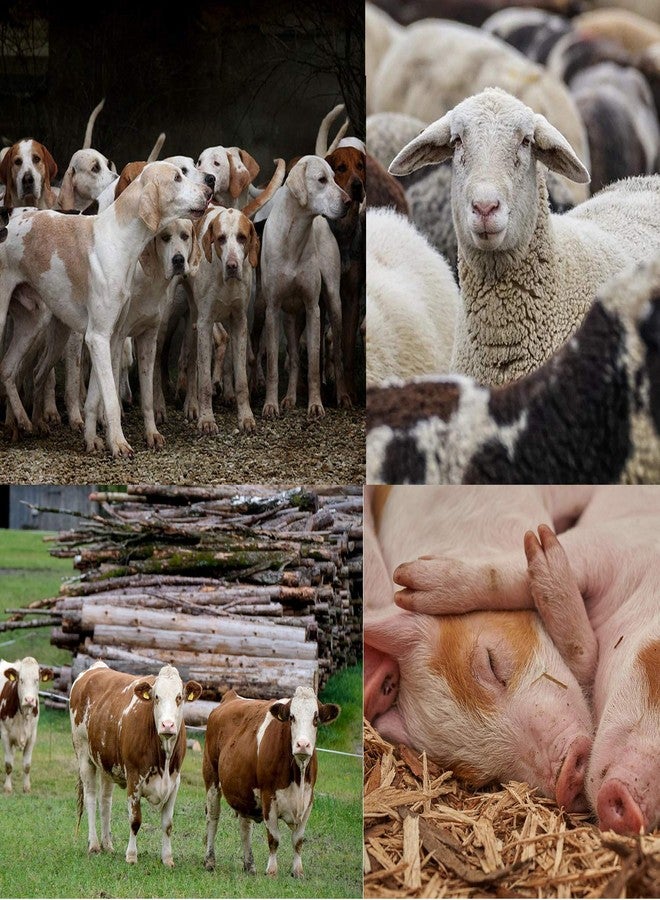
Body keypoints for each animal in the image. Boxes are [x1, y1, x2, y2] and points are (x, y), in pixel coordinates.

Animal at [0, 656, 53, 794]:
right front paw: (7, 788)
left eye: (36, 680)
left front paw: (26, 787)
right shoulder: (5, 735)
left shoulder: (32, 736)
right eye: (21, 680)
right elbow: (9, 764)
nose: (29, 700)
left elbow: (27, 765)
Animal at [69, 661, 202, 866]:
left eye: (179, 697)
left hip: (107, 763)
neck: (163, 758)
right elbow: (135, 820)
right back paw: (94, 845)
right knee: (91, 797)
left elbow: (168, 824)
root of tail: (96, 667)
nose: (168, 725)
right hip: (83, 755)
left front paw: (167, 858)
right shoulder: (134, 778)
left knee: (105, 801)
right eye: (156, 697)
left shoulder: (175, 782)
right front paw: (131, 856)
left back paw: (107, 844)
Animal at [202, 685, 341, 877]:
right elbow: (274, 838)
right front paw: (272, 871)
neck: (297, 777)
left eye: (315, 719)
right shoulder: (268, 797)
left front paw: (297, 870)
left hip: (244, 790)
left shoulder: (308, 800)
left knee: (245, 827)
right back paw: (209, 861)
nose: (302, 745)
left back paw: (249, 865)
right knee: (213, 817)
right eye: (291, 717)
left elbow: (298, 840)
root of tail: (231, 697)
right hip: (211, 776)